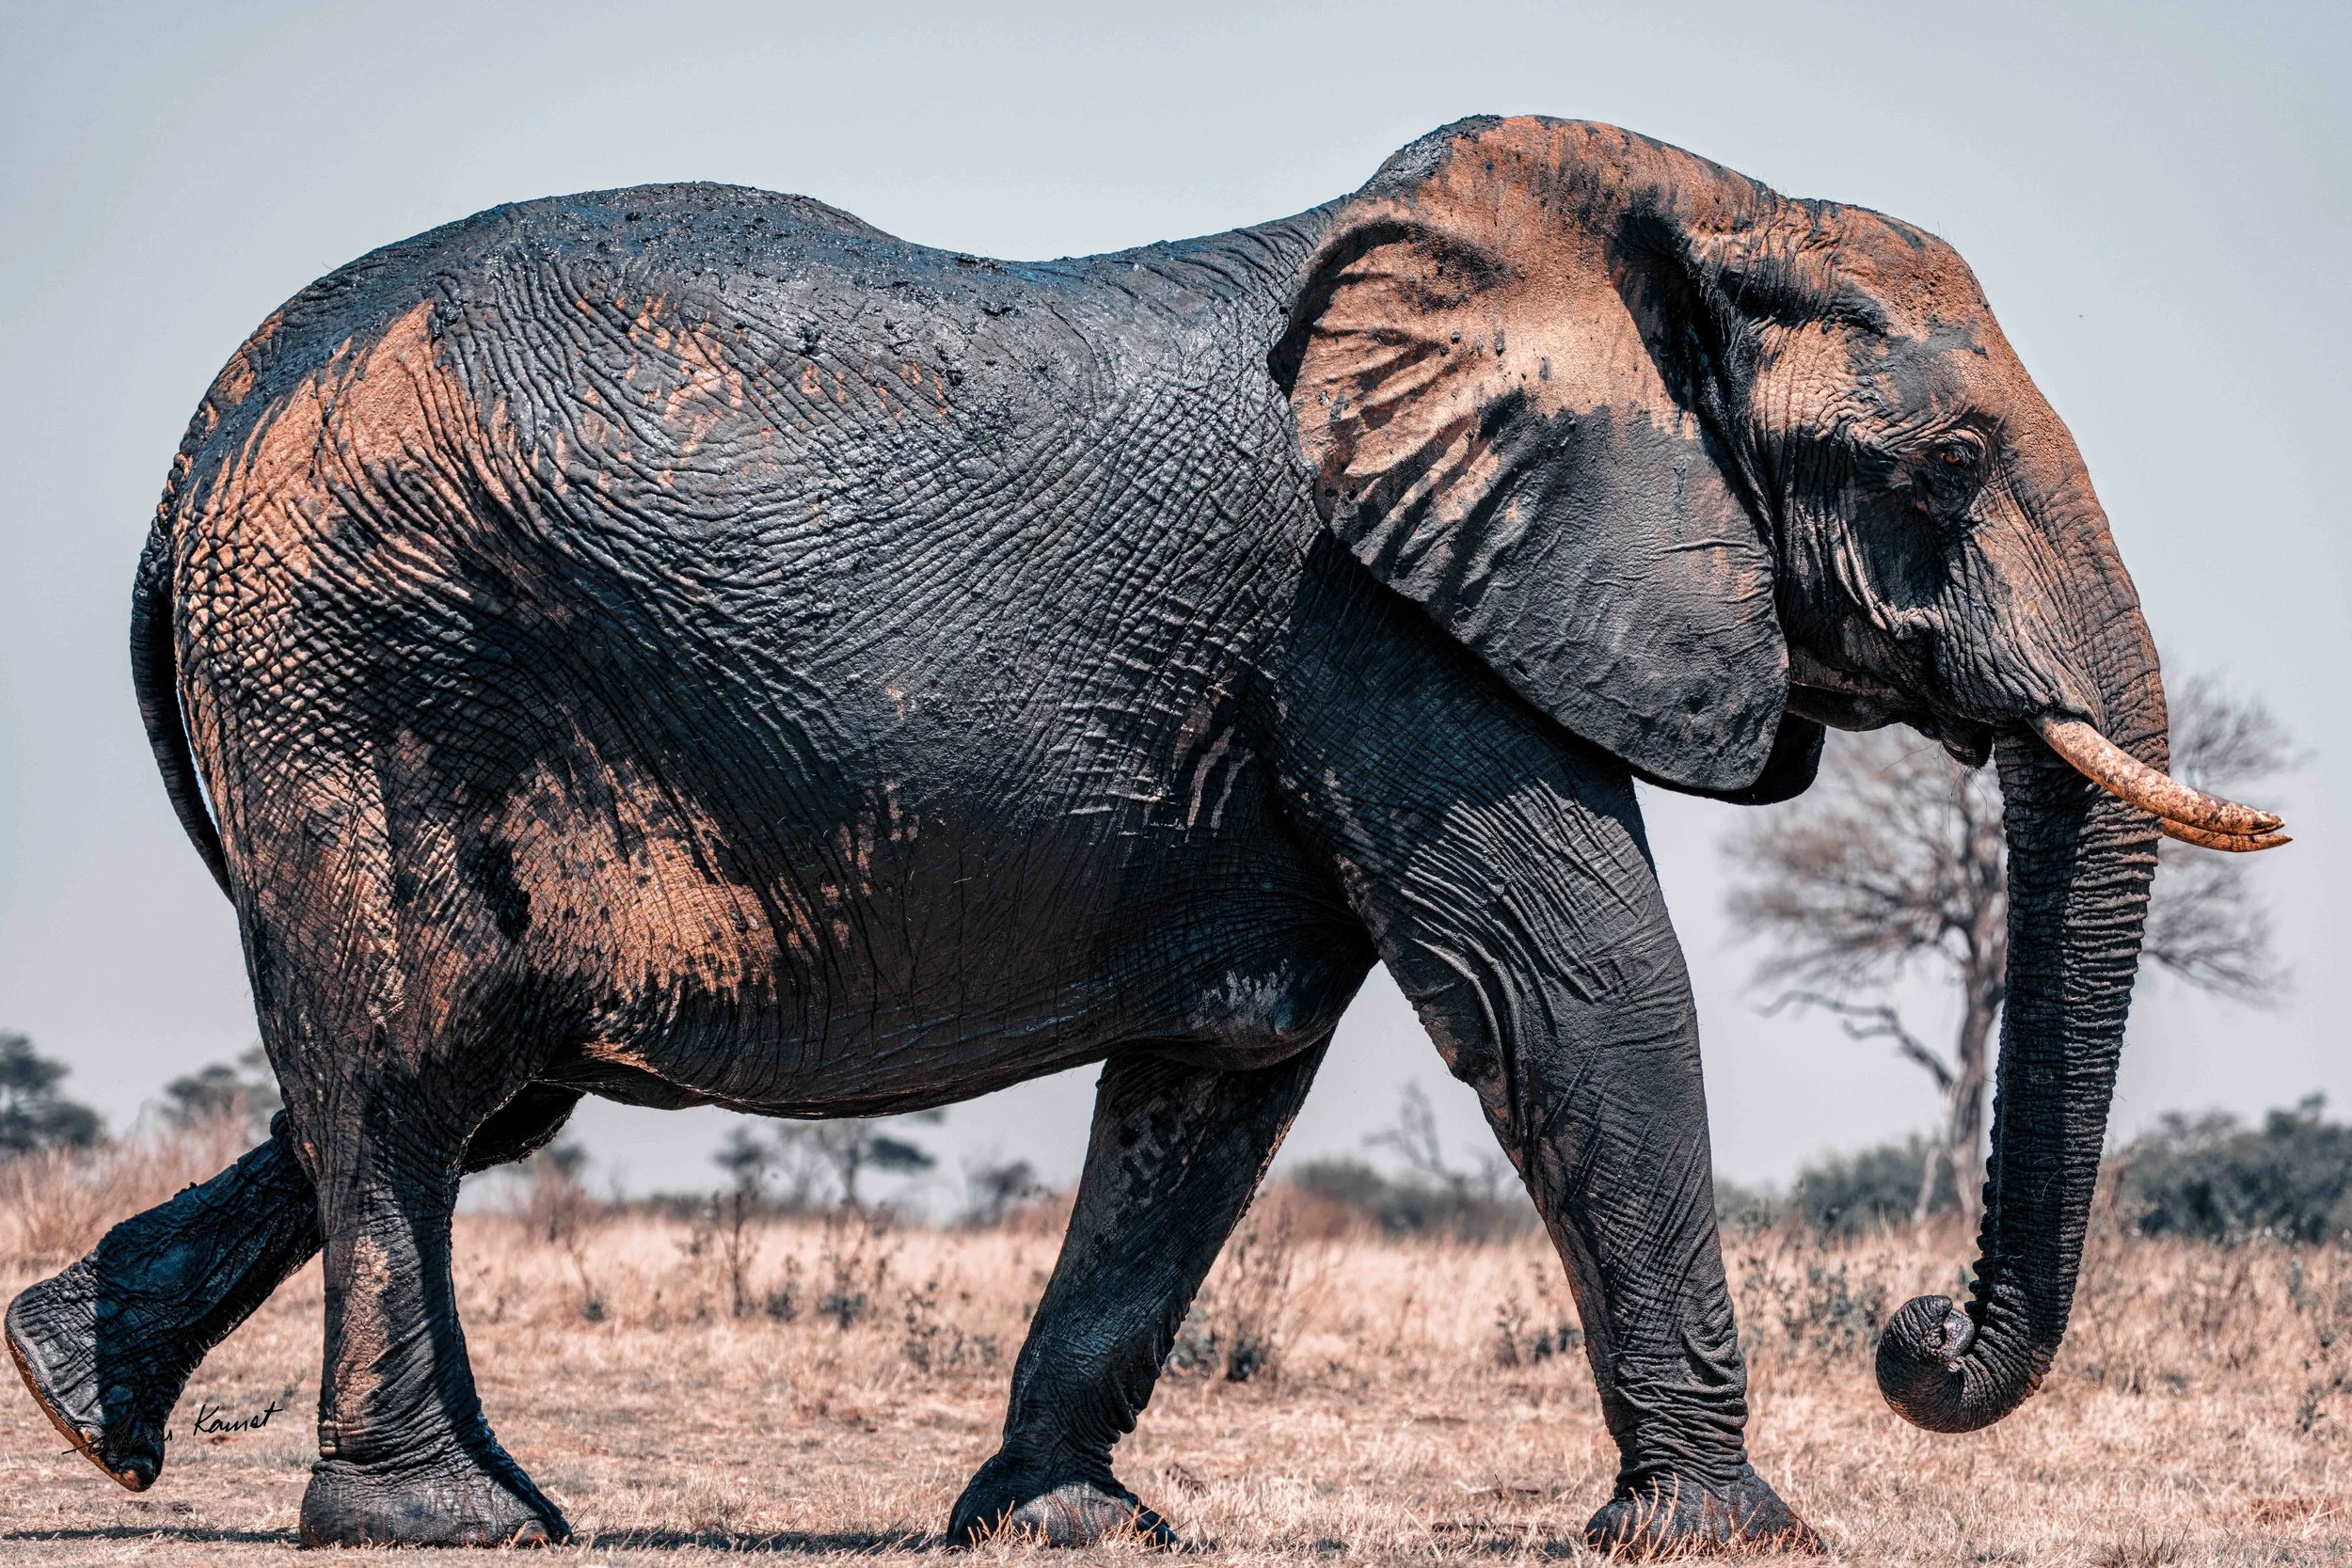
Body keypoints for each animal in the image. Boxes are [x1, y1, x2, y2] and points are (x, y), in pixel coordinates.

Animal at [5, 115, 2285, 1554]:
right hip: (358, 675)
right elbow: (1567, 987)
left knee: (467, 1086)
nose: (1916, 1332)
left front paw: (1068, 1528)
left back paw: (78, 1394)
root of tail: (199, 448)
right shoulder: (1371, 613)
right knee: (406, 1077)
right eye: (1943, 466)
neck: (1665, 214)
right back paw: (441, 1517)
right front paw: (1733, 1532)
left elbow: (1219, 1077)